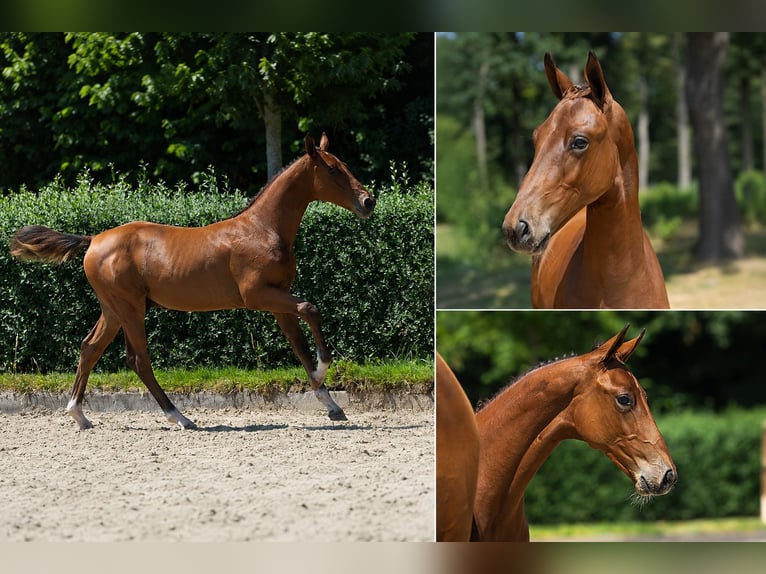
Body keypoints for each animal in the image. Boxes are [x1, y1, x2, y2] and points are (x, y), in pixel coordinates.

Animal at [10, 133, 376, 430]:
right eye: (332, 170)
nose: (368, 201)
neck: (261, 229)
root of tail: (93, 240)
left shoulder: (278, 299)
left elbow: (299, 344)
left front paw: (332, 405)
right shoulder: (258, 295)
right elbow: (311, 309)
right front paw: (322, 370)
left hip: (113, 309)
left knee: (90, 348)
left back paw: (80, 415)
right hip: (130, 308)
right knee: (138, 359)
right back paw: (181, 417)